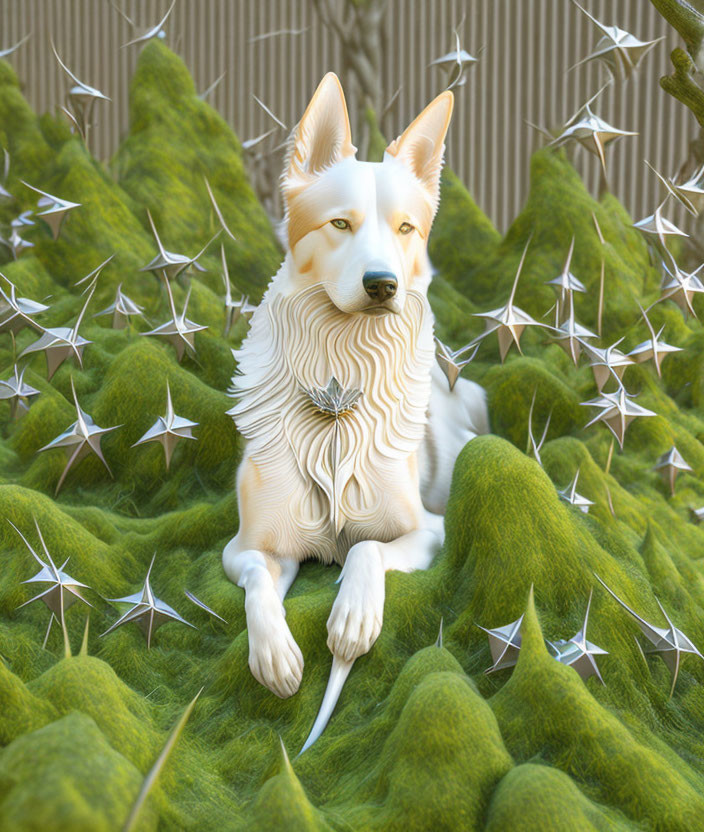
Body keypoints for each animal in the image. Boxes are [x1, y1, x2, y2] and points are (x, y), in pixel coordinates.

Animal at [223, 75, 486, 752]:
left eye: (405, 228)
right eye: (340, 223)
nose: (382, 285)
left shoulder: (428, 532)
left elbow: (367, 549)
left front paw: (351, 619)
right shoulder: (248, 547)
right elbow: (259, 580)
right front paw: (276, 655)